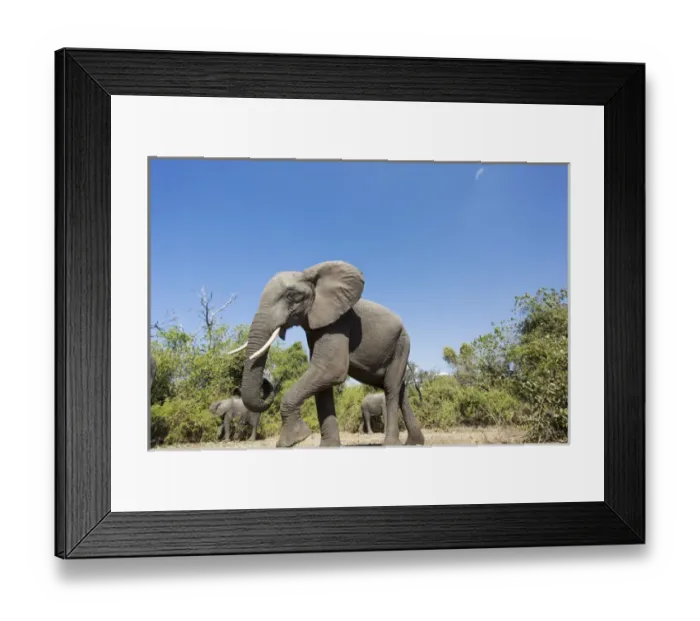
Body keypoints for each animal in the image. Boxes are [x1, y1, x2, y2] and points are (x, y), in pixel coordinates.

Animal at [227, 260, 425, 448]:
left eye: (291, 296)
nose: (266, 382)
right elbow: (322, 379)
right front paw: (329, 446)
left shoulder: (338, 323)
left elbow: (331, 370)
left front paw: (293, 440)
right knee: (399, 389)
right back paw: (414, 442)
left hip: (402, 344)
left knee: (391, 388)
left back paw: (391, 444)